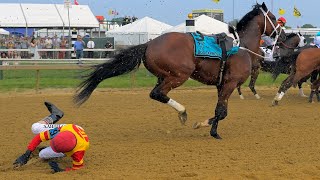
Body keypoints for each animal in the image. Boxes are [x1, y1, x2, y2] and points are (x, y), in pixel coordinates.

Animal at [74, 2, 284, 139]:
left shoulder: (221, 85)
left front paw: (212, 130)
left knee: (156, 93)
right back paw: (182, 112)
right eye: (274, 18)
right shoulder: (229, 84)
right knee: (158, 93)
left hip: (164, 75)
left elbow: (220, 110)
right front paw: (204, 126)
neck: (241, 47)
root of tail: (149, 43)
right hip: (179, 75)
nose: (281, 35)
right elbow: (221, 112)